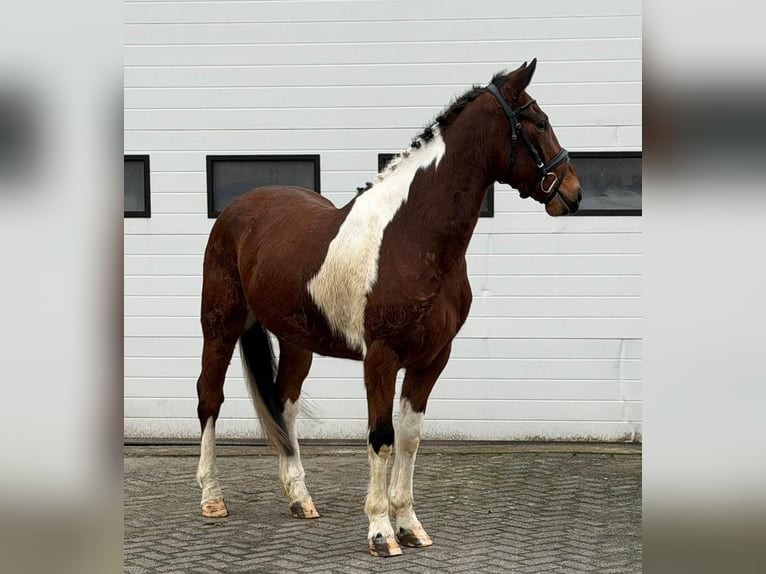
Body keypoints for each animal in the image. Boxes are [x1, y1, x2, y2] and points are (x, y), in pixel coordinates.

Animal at [195, 58, 582, 557]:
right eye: (539, 122)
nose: (573, 192)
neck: (413, 236)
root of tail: (237, 210)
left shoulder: (432, 357)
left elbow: (409, 438)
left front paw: (410, 525)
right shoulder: (380, 357)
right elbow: (381, 437)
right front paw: (380, 531)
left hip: (297, 341)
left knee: (283, 404)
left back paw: (300, 498)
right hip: (220, 325)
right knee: (209, 398)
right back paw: (212, 498)